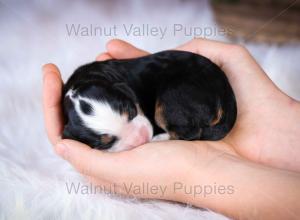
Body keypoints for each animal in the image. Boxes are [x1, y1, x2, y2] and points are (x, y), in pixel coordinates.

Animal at [62, 50, 237, 152]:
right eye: (105, 143)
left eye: (131, 111)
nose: (142, 138)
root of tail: (225, 95)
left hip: (172, 99)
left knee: (190, 133)